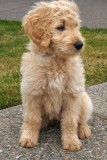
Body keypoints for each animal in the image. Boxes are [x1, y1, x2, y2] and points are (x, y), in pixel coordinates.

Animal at [19, 0, 93, 151]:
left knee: (81, 120)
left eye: (76, 25)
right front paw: (28, 137)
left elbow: (70, 120)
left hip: (84, 101)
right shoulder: (32, 93)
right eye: (60, 27)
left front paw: (71, 141)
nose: (80, 44)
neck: (55, 60)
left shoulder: (72, 94)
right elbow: (32, 119)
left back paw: (84, 130)